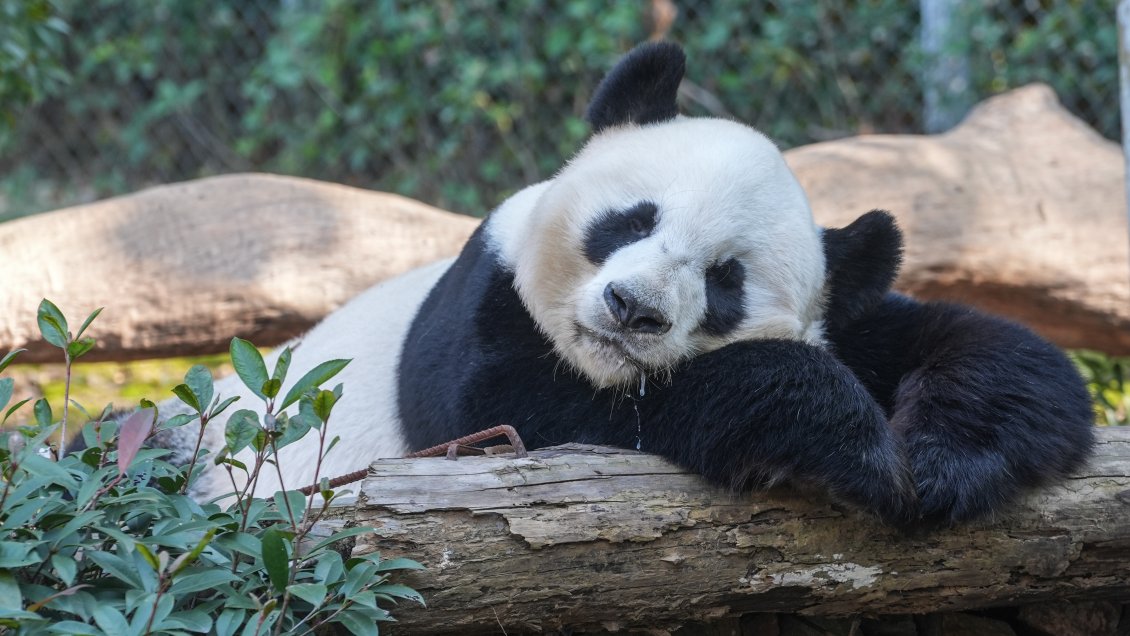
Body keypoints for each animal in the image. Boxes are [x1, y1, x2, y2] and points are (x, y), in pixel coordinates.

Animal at [175, 42, 1095, 529]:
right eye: (631, 220)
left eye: (725, 281)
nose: (635, 309)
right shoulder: (480, 317)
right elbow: (534, 419)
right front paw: (837, 432)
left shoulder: (852, 319)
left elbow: (994, 352)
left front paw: (942, 460)